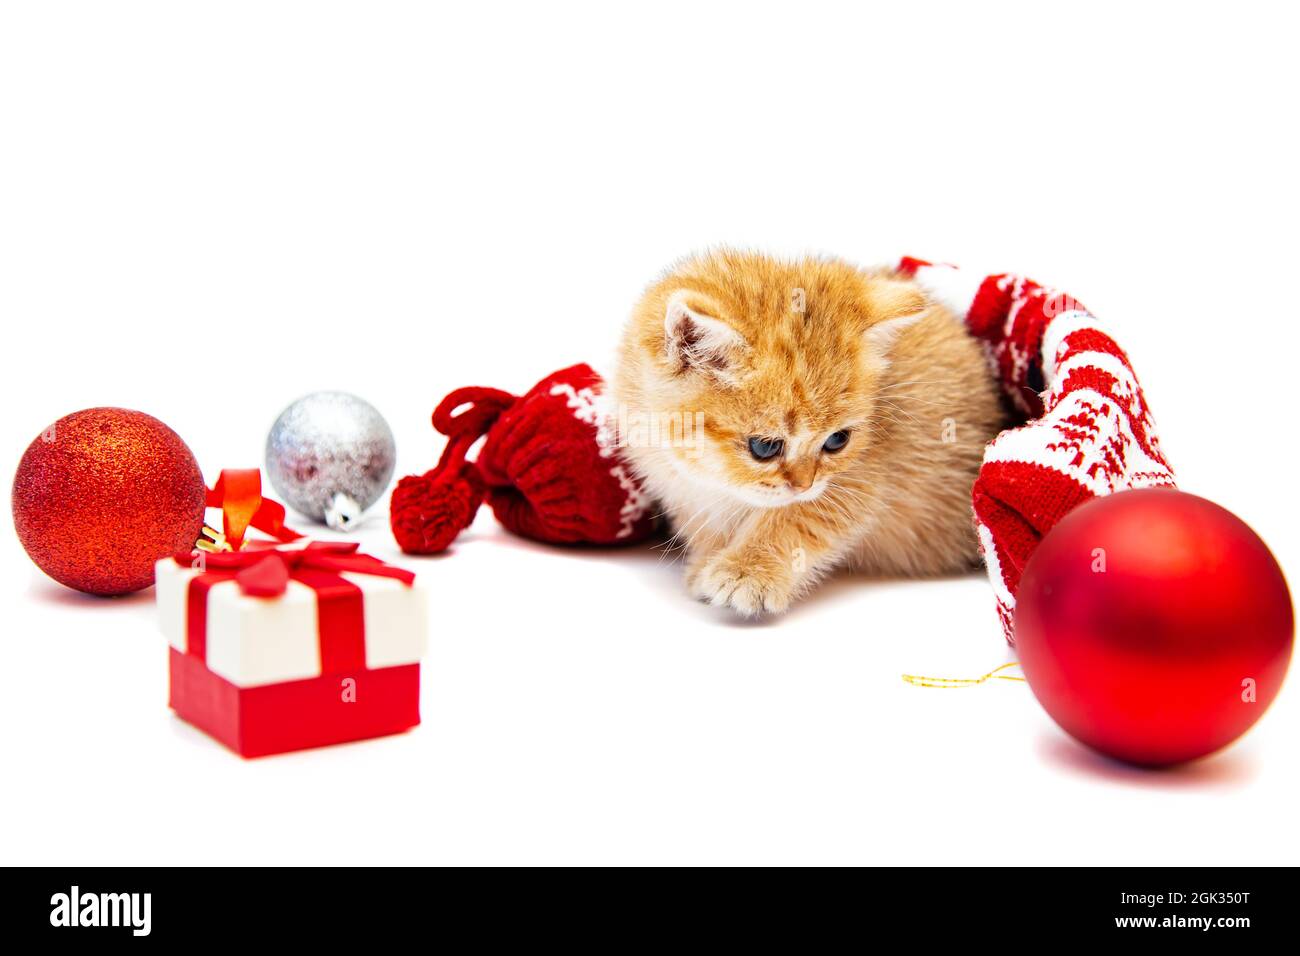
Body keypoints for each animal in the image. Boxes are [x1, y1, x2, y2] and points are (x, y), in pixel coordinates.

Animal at [613, 251, 1008, 616]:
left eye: (837, 441)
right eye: (764, 447)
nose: (804, 485)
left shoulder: (860, 480)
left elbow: (797, 520)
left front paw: (747, 571)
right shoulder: (679, 487)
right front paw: (705, 564)